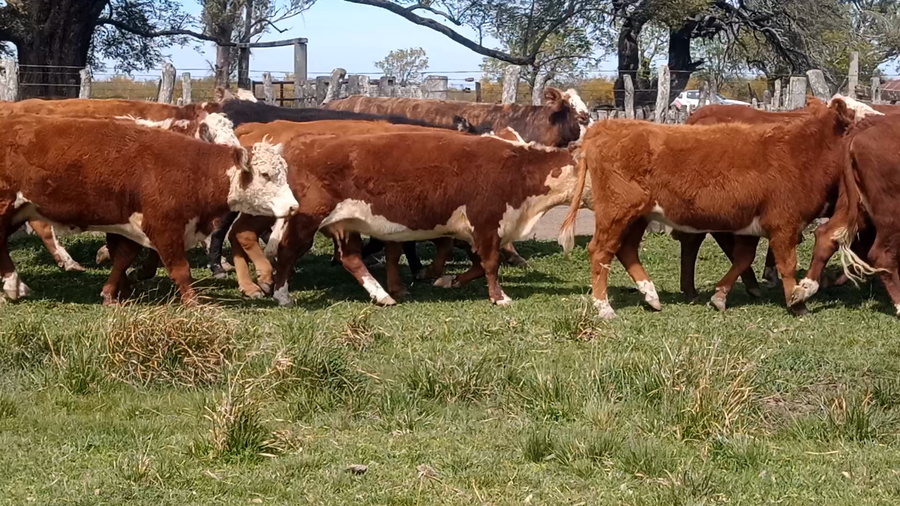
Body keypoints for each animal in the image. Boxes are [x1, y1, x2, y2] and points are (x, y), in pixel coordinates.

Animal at [0, 114, 297, 305]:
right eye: (266, 174)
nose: (293, 206)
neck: (194, 169)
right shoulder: (164, 226)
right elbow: (180, 269)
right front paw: (194, 303)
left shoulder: (134, 223)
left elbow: (124, 257)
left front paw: (111, 292)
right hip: (6, 205)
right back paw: (15, 284)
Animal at [234, 128, 578, 307]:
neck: (516, 169)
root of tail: (299, 143)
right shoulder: (486, 222)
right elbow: (491, 264)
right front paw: (499, 297)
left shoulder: (475, 230)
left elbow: (480, 264)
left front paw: (449, 280)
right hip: (306, 220)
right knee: (287, 252)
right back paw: (281, 294)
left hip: (343, 224)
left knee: (350, 258)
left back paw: (383, 295)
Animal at [558, 98, 856, 319]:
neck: (802, 151)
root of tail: (605, 129)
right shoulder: (784, 225)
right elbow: (787, 264)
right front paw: (797, 302)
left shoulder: (750, 226)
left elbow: (743, 258)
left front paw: (720, 296)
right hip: (615, 212)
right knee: (600, 251)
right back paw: (604, 307)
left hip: (637, 215)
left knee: (626, 249)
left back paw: (652, 296)